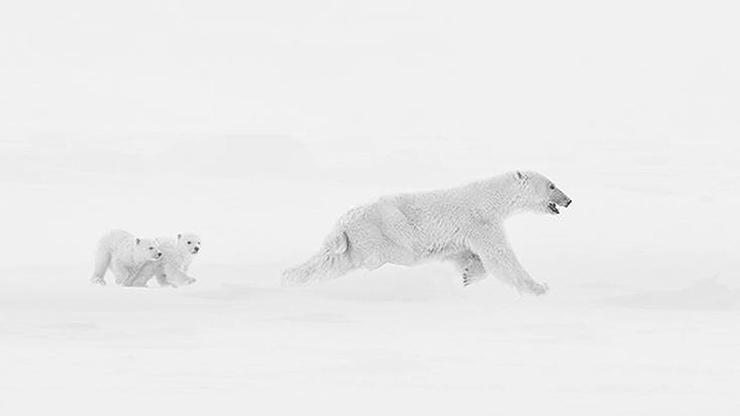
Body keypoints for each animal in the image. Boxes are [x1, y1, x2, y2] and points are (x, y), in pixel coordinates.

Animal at [282, 171, 572, 295]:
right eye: (552, 185)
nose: (569, 200)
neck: (490, 199)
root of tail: (342, 223)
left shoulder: (460, 235)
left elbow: (463, 254)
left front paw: (468, 275)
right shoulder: (480, 222)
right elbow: (500, 257)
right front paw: (539, 287)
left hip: (352, 239)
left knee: (330, 261)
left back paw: (290, 277)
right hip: (381, 231)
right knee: (376, 255)